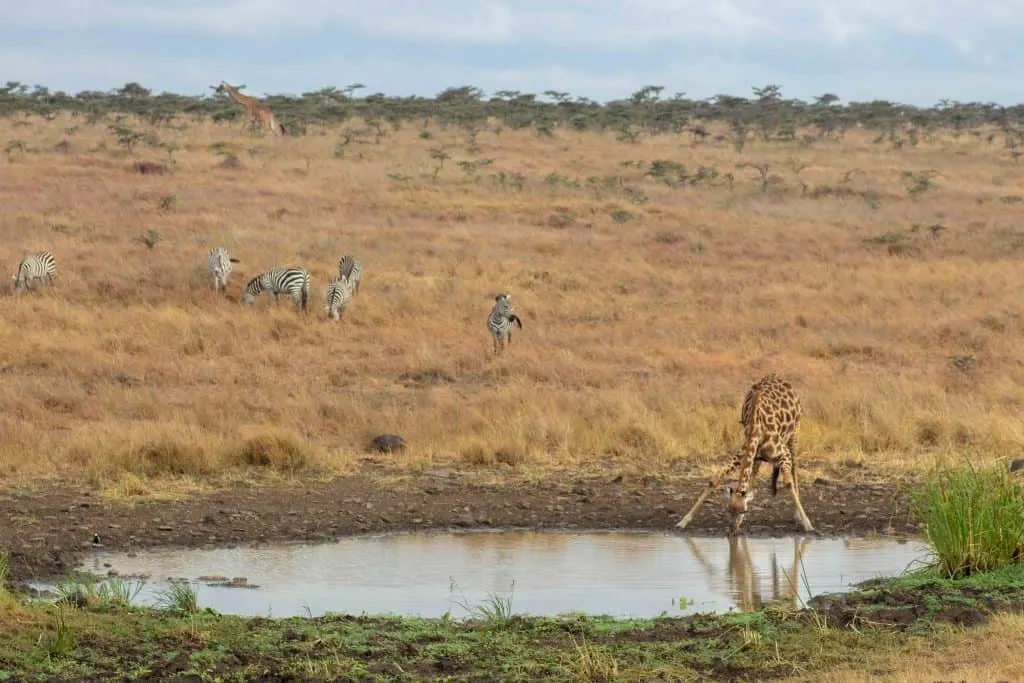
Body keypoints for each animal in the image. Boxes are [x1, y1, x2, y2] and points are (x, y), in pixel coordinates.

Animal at [671, 376, 815, 536]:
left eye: (743, 511)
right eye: (729, 510)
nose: (732, 532)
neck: (756, 428)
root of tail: (778, 377)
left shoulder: (784, 454)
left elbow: (788, 482)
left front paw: (807, 524)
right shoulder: (743, 453)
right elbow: (715, 478)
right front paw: (683, 521)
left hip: (794, 434)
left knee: (795, 470)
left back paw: (798, 516)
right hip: (758, 455)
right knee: (754, 472)